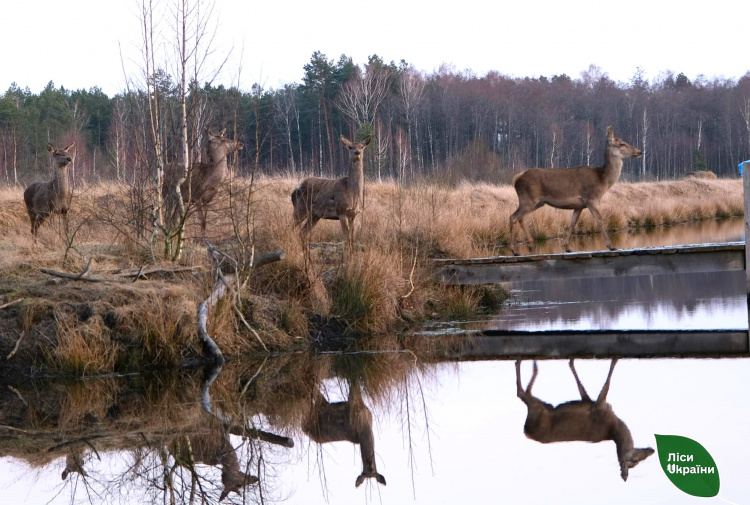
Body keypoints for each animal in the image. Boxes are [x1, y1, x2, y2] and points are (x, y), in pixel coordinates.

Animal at [512, 124, 648, 254]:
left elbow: (573, 223)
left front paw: (567, 247)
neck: (602, 180)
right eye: (622, 143)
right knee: (513, 217)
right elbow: (600, 220)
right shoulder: (591, 198)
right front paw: (611, 246)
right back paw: (516, 250)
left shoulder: (579, 205)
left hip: (537, 202)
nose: (640, 151)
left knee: (520, 217)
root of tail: (516, 178)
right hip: (528, 199)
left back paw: (529, 245)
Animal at [516, 358, 652, 480]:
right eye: (635, 461)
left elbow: (582, 388)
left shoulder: (591, 402)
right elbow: (606, 385)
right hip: (538, 409)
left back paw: (532, 365)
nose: (651, 450)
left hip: (543, 407)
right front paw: (614, 358)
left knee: (525, 392)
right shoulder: (600, 406)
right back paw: (524, 363)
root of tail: (526, 431)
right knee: (521, 393)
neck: (613, 426)